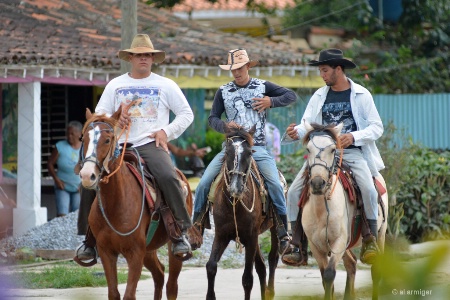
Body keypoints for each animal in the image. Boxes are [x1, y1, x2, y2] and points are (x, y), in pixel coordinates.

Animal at [78, 104, 197, 298]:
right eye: (83, 138)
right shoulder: (106, 253)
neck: (116, 203)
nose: (88, 175)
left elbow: (129, 295)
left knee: (171, 286)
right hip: (149, 250)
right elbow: (114, 293)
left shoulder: (135, 254)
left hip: (171, 249)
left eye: (107, 140)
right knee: (159, 274)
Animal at [206, 125, 280, 300]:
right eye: (227, 152)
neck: (234, 204)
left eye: (249, 153)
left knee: (272, 259)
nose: (236, 187)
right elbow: (211, 266)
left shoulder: (251, 237)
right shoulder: (222, 234)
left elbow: (247, 279)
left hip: (272, 229)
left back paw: (270, 291)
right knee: (261, 266)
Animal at [300, 122, 388, 300]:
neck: (321, 210)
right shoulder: (315, 246)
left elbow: (329, 274)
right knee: (351, 264)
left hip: (380, 234)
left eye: (333, 149)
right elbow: (324, 277)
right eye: (308, 149)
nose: (318, 183)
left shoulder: (339, 241)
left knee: (375, 270)